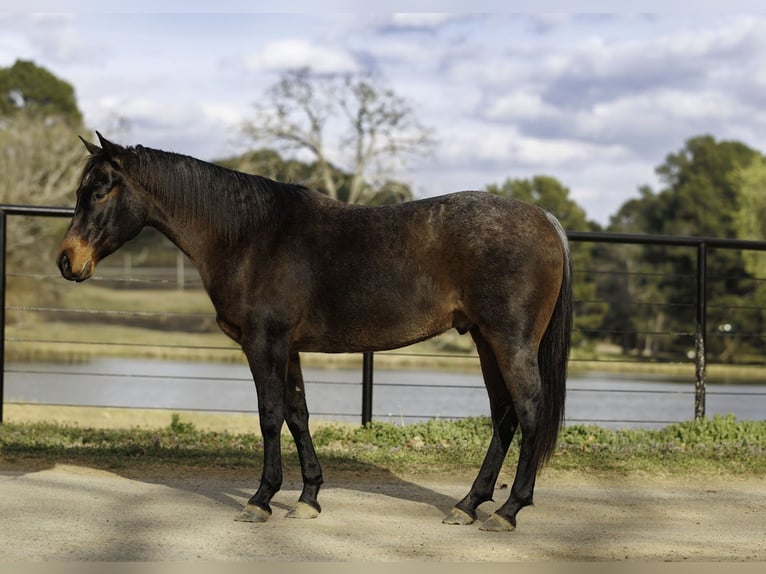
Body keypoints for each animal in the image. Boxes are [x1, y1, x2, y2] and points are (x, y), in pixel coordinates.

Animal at [57, 132, 572, 532]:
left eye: (99, 191)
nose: (67, 261)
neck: (251, 237)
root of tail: (545, 219)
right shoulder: (288, 349)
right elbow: (297, 414)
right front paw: (308, 499)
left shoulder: (263, 343)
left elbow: (269, 416)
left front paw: (260, 500)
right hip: (486, 340)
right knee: (504, 416)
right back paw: (468, 505)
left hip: (510, 342)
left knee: (528, 412)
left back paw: (507, 511)